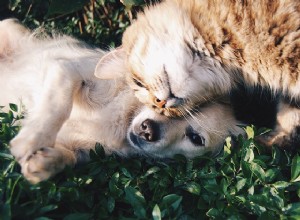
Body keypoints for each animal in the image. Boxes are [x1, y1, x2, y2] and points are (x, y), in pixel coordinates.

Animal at [0, 18, 243, 183]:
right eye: (159, 102)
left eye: (195, 138)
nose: (148, 130)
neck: (122, 120)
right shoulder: (67, 69)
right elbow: (58, 105)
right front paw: (31, 139)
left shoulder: (84, 150)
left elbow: (69, 158)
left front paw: (43, 163)